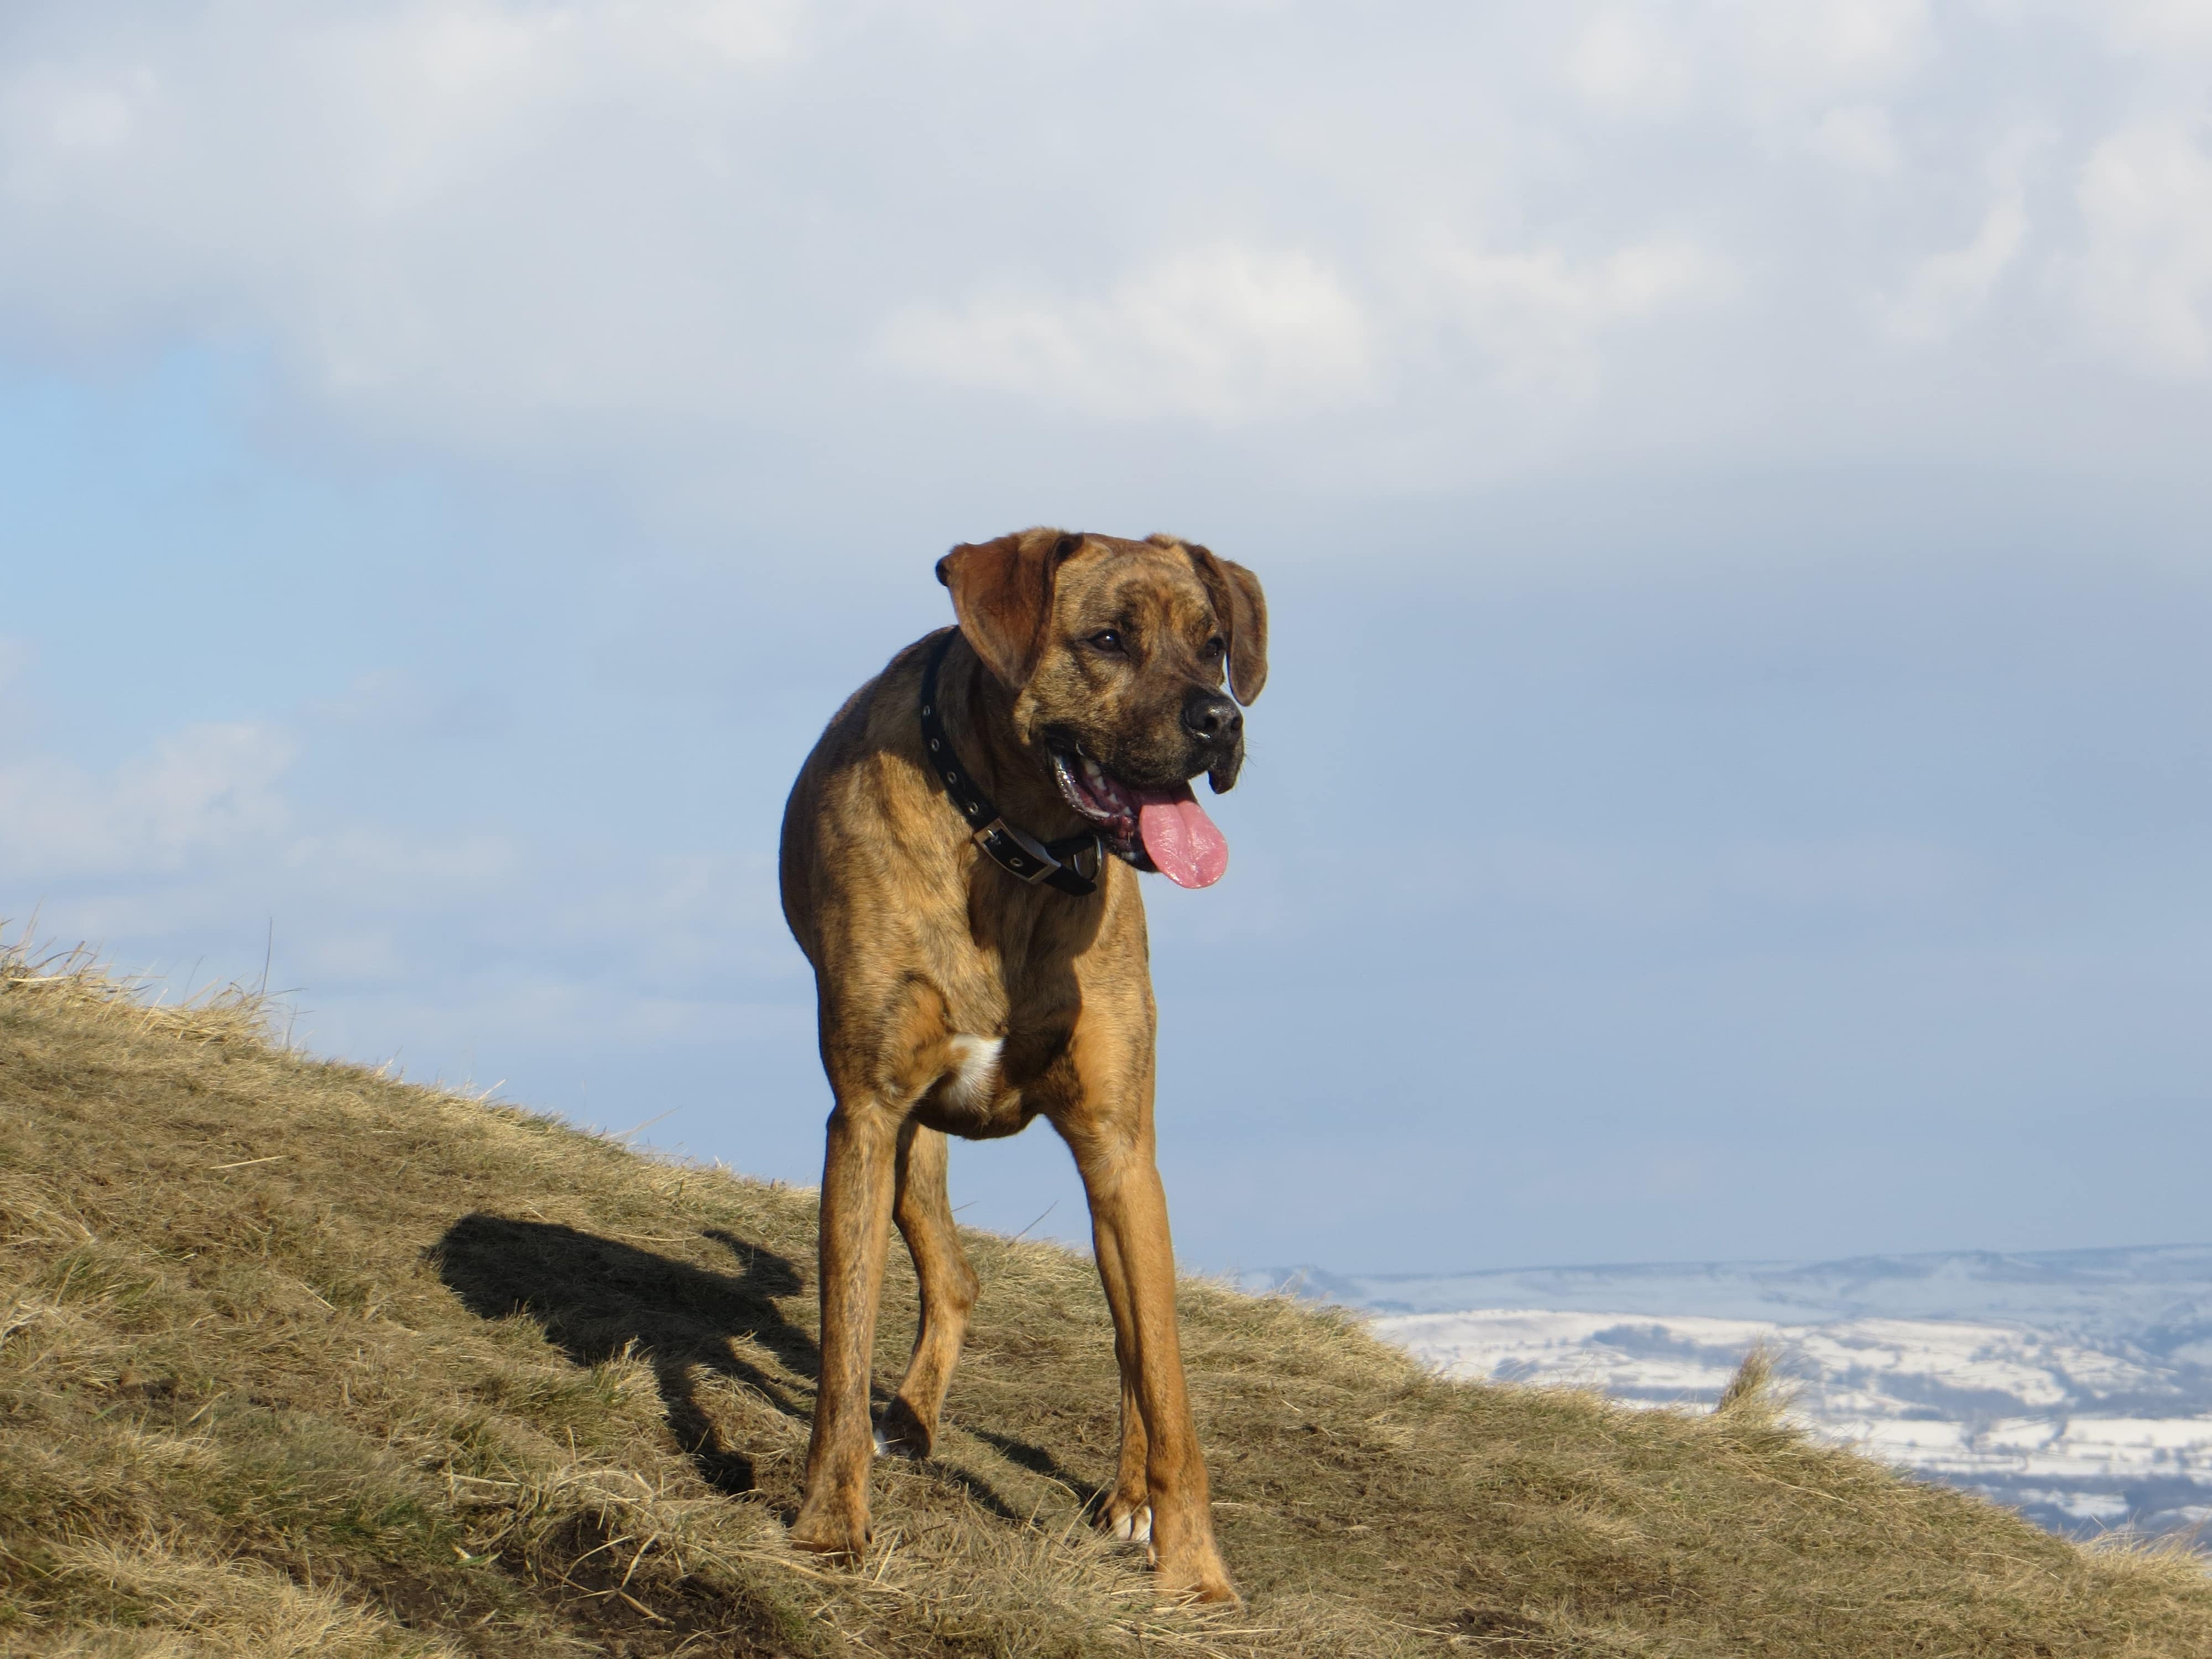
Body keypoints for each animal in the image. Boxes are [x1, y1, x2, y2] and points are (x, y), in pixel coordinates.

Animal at [774, 526, 1265, 1601]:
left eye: (1213, 645)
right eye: (1109, 638)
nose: (1222, 721)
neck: (1010, 850)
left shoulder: (1120, 1147)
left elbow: (1167, 1385)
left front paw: (1197, 1576)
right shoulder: (867, 1114)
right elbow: (843, 1349)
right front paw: (829, 1522)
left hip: (1120, 1180)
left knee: (1135, 1337)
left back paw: (1128, 1497)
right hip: (909, 1142)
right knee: (953, 1278)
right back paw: (910, 1420)